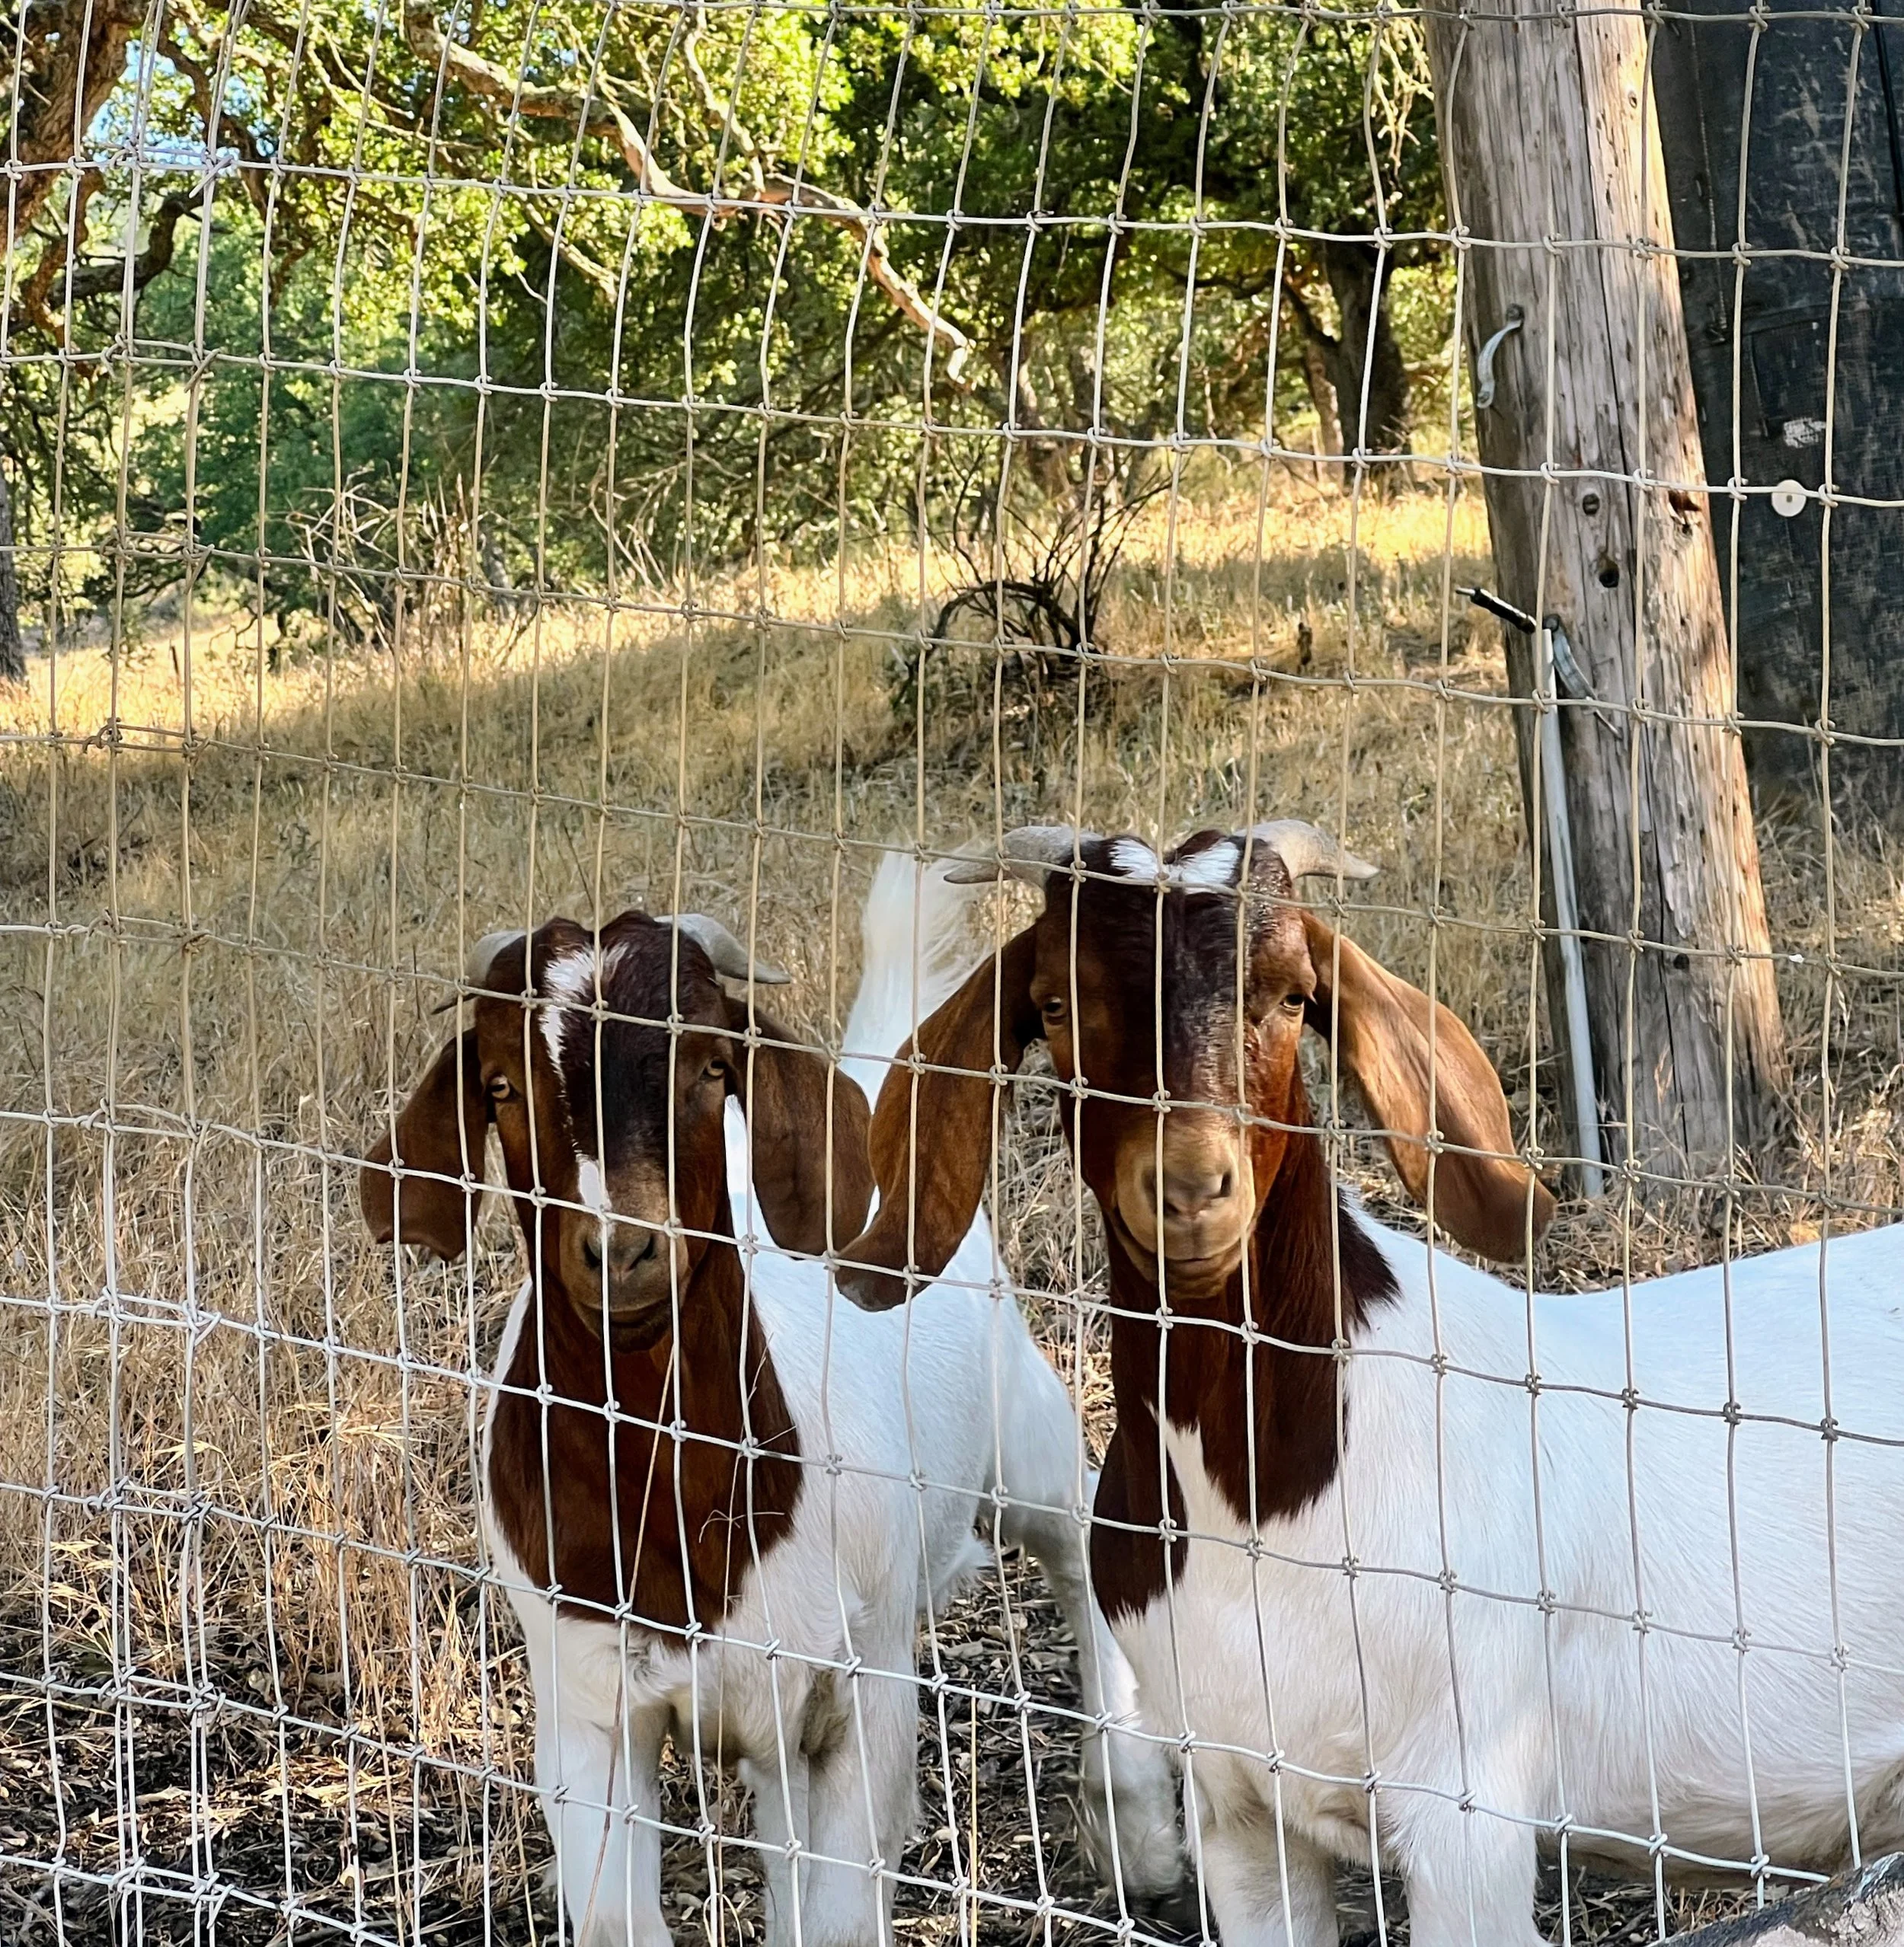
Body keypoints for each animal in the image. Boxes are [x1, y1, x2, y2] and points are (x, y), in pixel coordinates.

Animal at [360, 855, 1183, 1947]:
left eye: (713, 1065)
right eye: (499, 1085)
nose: (621, 1248)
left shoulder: (854, 1696)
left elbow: (835, 1912)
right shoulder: (586, 1705)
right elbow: (620, 1910)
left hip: (1018, 1420)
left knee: (1077, 1530)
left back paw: (1135, 1828)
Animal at [838, 821, 1904, 1947]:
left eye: (1294, 994)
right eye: (1052, 1004)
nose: (1191, 1187)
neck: (1268, 1498)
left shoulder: (1468, 1809)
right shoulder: (1237, 1803)